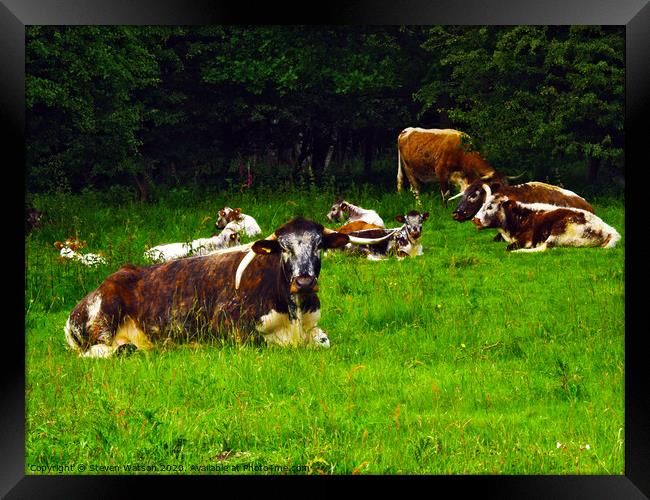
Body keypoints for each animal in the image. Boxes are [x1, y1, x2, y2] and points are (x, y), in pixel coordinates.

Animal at [470, 185, 616, 254]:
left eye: (490, 206)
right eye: (482, 204)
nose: (475, 219)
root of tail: (607, 229)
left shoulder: (527, 239)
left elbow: (509, 247)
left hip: (559, 230)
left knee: (544, 248)